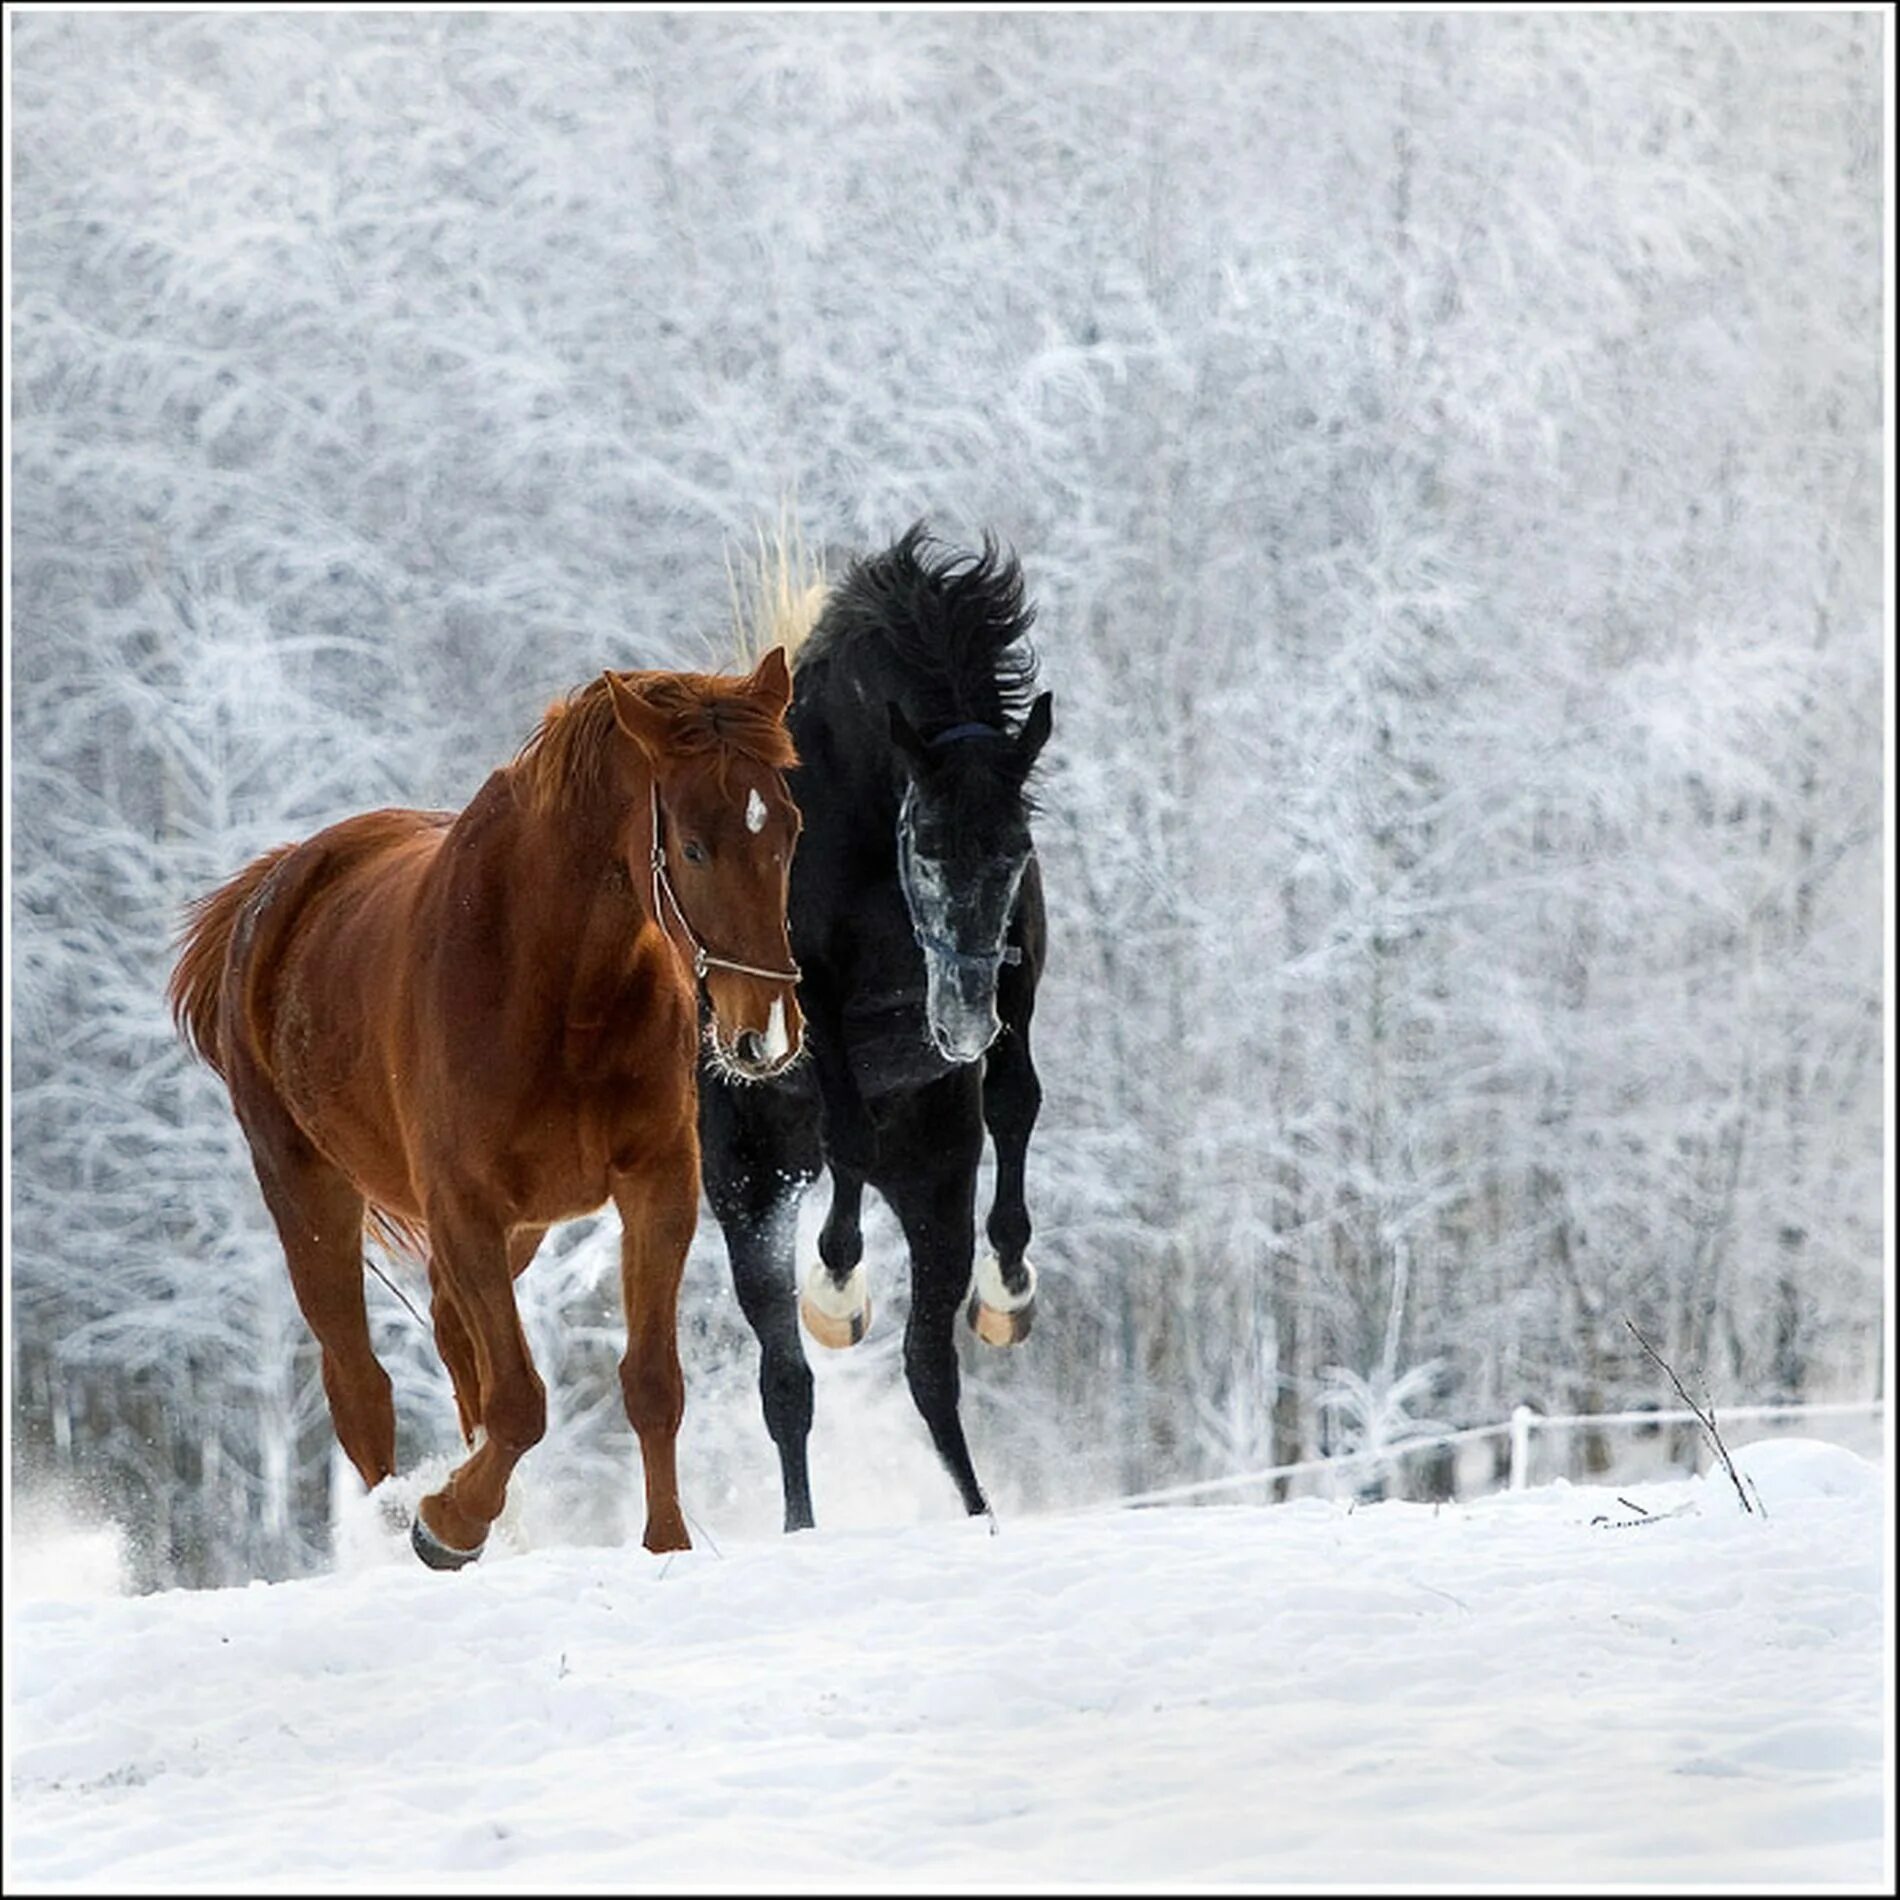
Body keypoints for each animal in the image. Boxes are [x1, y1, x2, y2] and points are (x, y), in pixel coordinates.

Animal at [165, 653, 809, 1573]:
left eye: (786, 829)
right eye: (691, 843)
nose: (767, 1034)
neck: (557, 984)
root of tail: (272, 889)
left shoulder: (656, 1186)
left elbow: (651, 1383)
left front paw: (667, 1545)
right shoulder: (463, 1203)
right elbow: (518, 1403)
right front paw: (447, 1520)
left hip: (524, 1229)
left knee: (446, 1330)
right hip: (308, 1193)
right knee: (360, 1384)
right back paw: (405, 1514)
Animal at [703, 524, 1056, 1527]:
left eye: (1017, 846)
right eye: (927, 846)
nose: (960, 1030)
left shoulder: (1017, 972)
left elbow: (1017, 1103)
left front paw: (1010, 1286)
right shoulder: (809, 998)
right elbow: (849, 1131)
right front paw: (836, 1284)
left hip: (933, 1176)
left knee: (929, 1368)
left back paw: (977, 1511)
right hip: (750, 1184)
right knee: (786, 1383)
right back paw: (801, 1522)